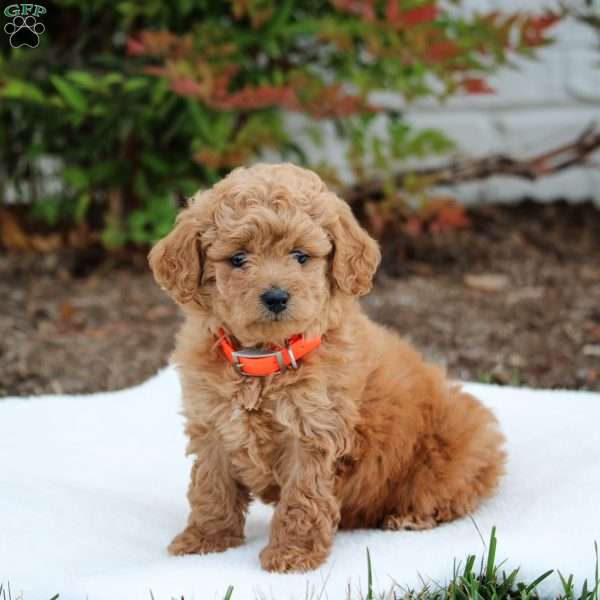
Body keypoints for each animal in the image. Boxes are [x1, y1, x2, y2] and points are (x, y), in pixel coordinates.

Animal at [150, 163, 506, 572]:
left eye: (300, 256)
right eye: (238, 258)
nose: (276, 297)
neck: (264, 360)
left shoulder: (313, 433)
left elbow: (302, 499)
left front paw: (293, 554)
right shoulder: (213, 425)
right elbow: (211, 487)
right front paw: (205, 541)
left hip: (458, 440)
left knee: (455, 489)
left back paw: (411, 516)